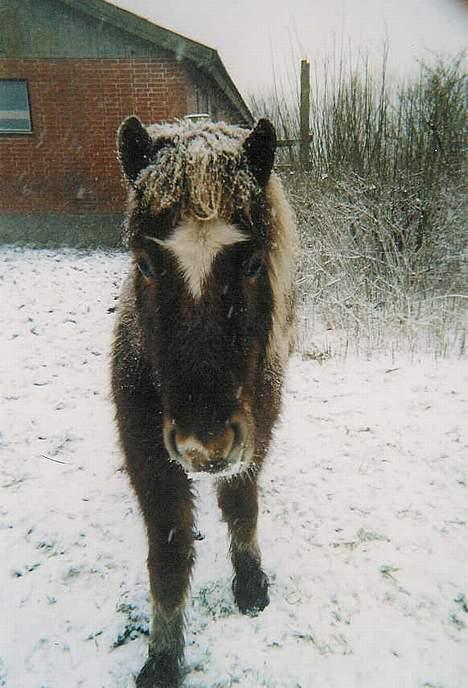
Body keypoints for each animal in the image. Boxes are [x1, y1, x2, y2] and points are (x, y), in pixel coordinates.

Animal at [110, 115, 296, 684]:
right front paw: (163, 659)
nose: (204, 443)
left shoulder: (253, 436)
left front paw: (251, 582)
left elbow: (240, 506)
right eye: (146, 264)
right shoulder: (148, 456)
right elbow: (168, 555)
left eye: (254, 263)